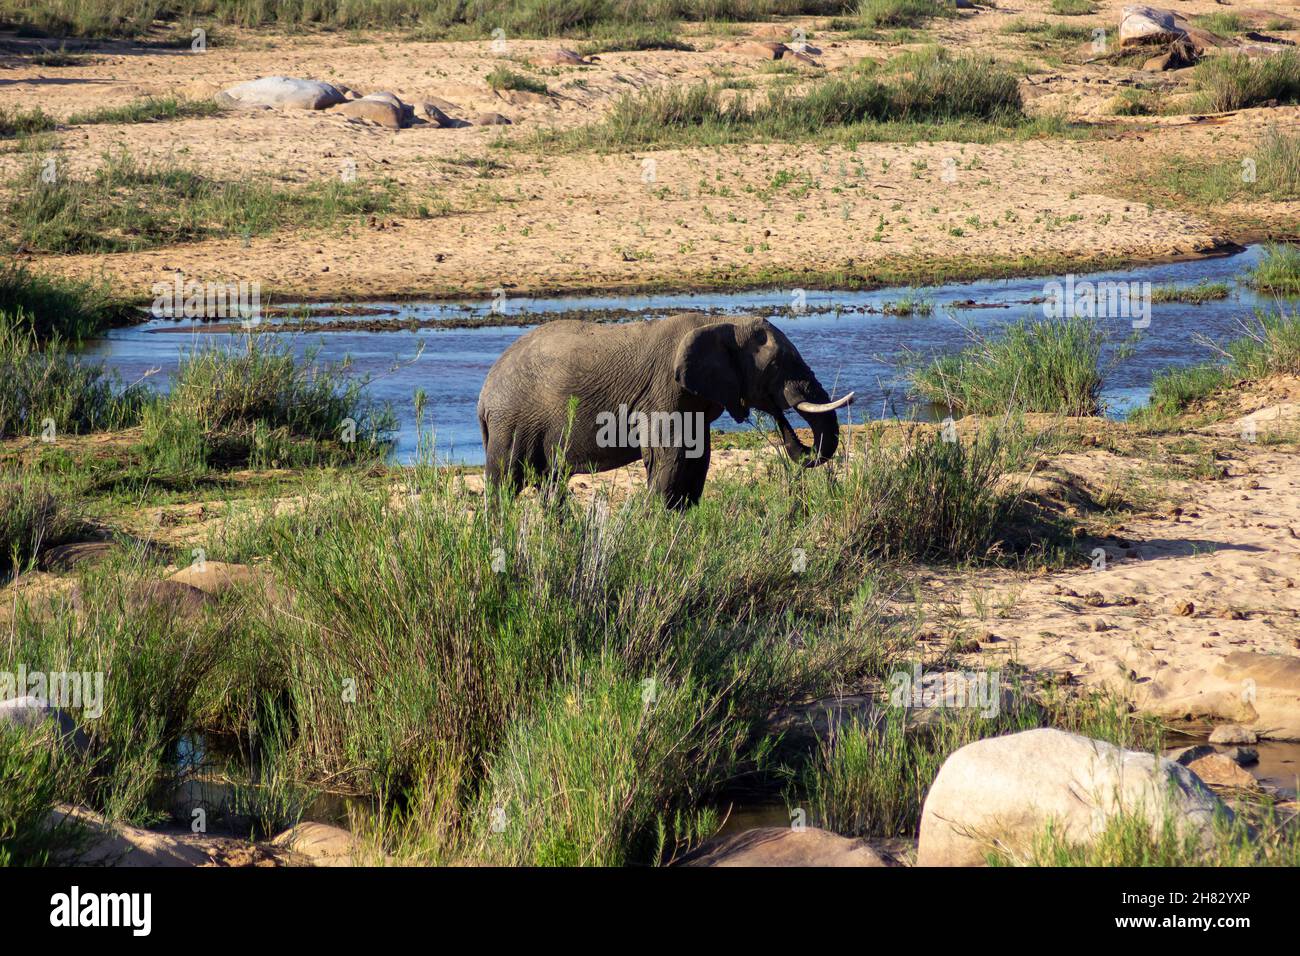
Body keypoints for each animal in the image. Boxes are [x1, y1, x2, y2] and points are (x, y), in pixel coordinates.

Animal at [478, 312, 852, 509]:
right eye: (776, 365)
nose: (781, 413)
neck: (721, 322)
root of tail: (484, 394)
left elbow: (697, 460)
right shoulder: (664, 393)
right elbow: (670, 458)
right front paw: (653, 524)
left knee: (550, 484)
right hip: (511, 422)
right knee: (505, 483)